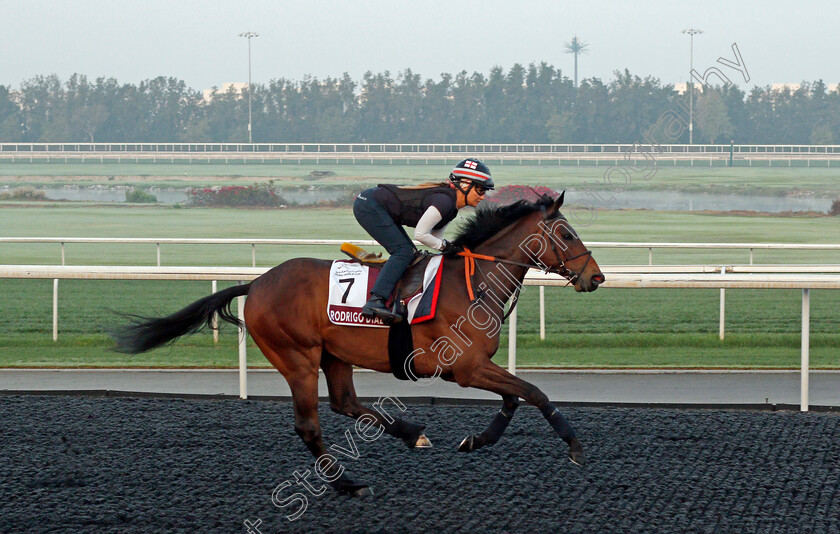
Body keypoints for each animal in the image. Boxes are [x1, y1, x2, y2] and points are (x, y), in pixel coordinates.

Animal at [116, 193, 604, 498]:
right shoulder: (464, 368)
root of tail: (256, 283)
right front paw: (575, 446)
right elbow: (534, 392)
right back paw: (346, 483)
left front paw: (475, 440)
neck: (473, 282)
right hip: (297, 357)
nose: (595, 277)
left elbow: (513, 398)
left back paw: (410, 433)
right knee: (309, 426)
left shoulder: (474, 366)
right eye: (566, 235)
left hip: (335, 356)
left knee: (345, 403)